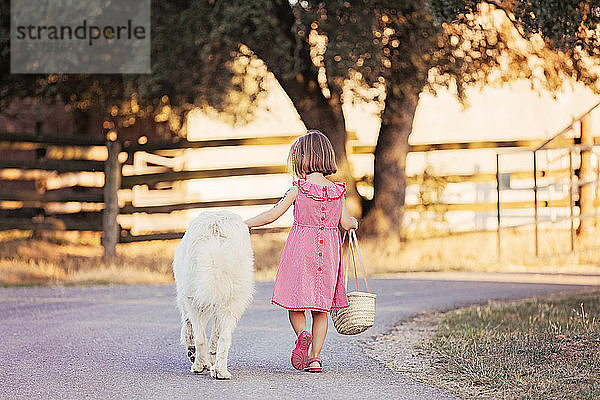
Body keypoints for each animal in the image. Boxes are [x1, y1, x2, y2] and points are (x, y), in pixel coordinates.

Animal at [172, 211, 254, 380]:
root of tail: (216, 228)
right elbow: (215, 336)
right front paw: (209, 361)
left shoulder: (185, 301)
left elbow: (188, 327)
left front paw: (194, 354)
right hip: (233, 300)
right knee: (223, 337)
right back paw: (220, 371)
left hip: (193, 299)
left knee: (200, 336)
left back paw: (198, 366)